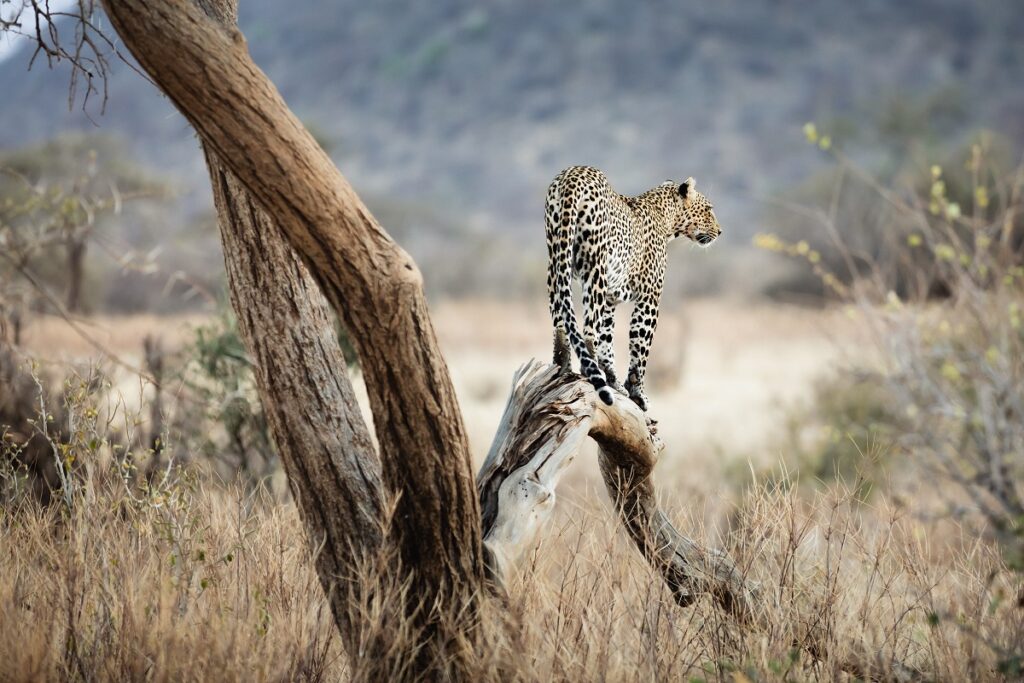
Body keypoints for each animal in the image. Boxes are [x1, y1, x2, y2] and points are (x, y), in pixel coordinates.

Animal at [548, 165, 724, 411]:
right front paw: (637, 392)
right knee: (589, 329)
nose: (720, 231)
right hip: (595, 268)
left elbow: (608, 339)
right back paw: (588, 371)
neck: (667, 218)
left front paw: (613, 380)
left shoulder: (611, 299)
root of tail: (574, 175)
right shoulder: (650, 297)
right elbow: (640, 347)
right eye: (708, 210)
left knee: (561, 322)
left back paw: (562, 365)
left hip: (555, 261)